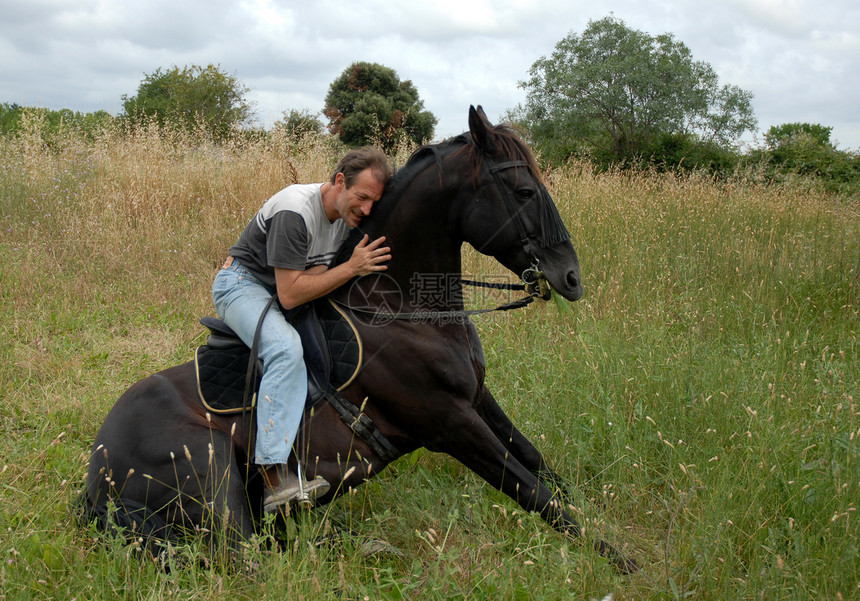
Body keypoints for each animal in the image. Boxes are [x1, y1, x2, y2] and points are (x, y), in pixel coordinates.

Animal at [84, 108, 636, 572]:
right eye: (522, 191)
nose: (570, 278)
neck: (400, 311)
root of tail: (95, 477)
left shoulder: (479, 398)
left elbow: (540, 465)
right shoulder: (451, 424)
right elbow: (535, 494)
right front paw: (621, 560)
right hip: (210, 463)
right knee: (247, 557)